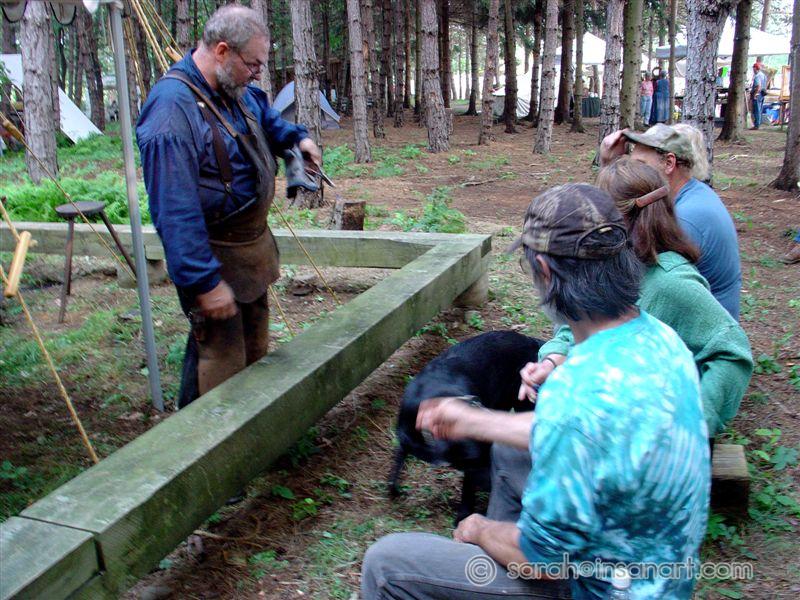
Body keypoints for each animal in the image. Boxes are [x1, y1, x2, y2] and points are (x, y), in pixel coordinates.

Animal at [388, 330, 543, 523]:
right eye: (470, 461)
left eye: (489, 453)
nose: (493, 485)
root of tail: (530, 340)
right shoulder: (406, 438)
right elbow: (398, 459)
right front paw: (393, 488)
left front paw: (463, 514)